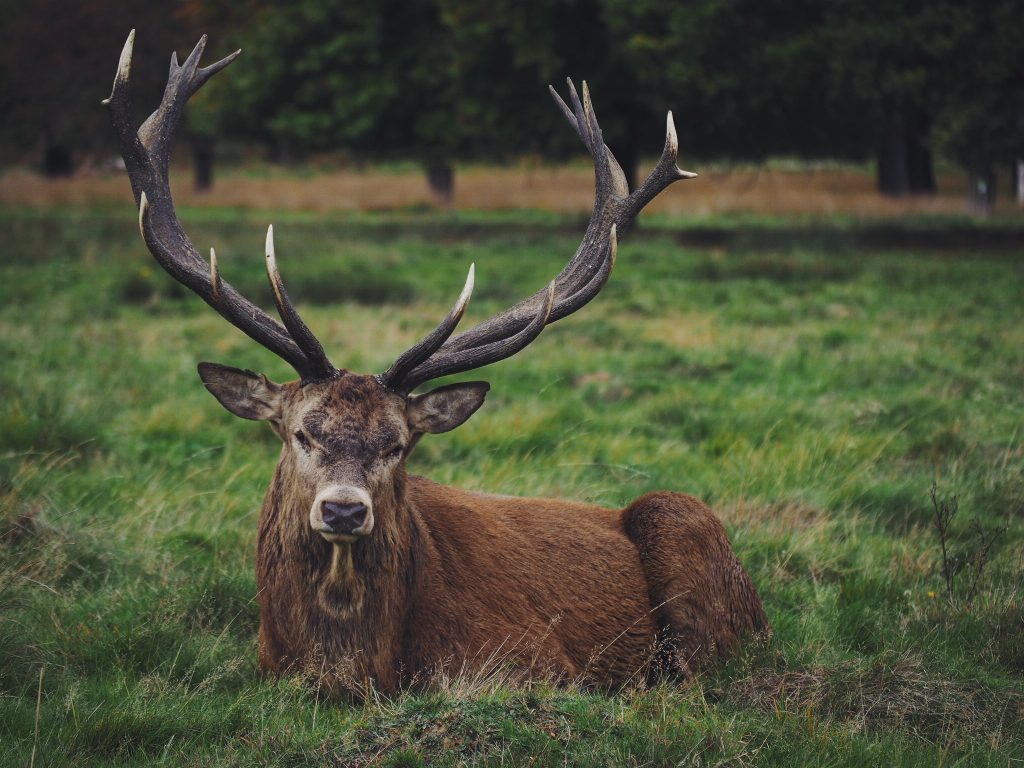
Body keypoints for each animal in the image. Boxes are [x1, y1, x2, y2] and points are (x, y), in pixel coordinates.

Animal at [105, 31, 770, 696]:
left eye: (398, 443)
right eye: (301, 433)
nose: (343, 509)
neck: (356, 668)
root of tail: (760, 611)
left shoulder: (541, 662)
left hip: (685, 529)